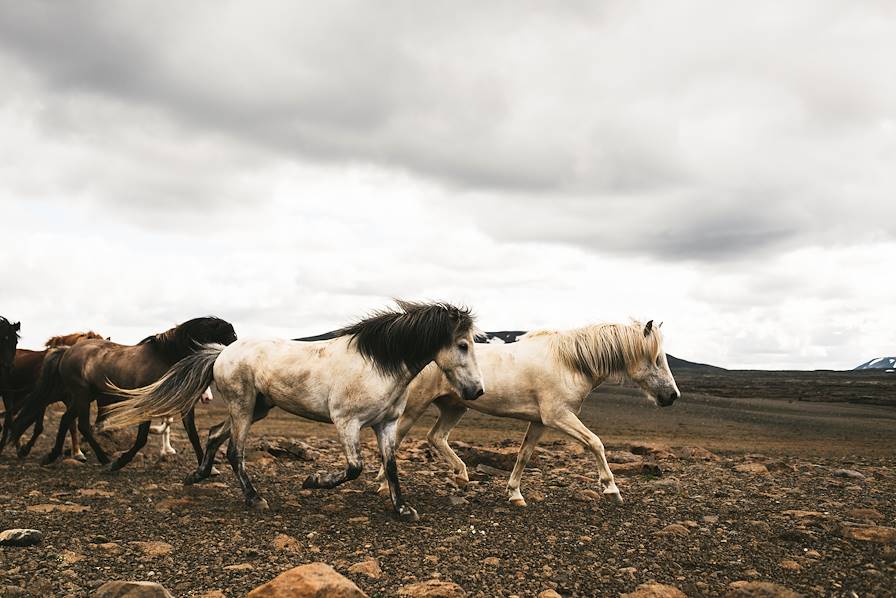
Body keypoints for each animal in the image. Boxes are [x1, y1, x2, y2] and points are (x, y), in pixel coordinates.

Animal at [0, 332, 106, 460]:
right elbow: (38, 426)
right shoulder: (43, 398)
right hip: (9, 394)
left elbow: (71, 424)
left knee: (11, 418)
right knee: (10, 419)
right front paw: (25, 449)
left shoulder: (70, 399)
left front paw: (77, 453)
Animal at [22, 316, 236, 472]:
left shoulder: (184, 406)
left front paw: (207, 468)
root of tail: (67, 350)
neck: (166, 357)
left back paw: (67, 456)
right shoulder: (148, 404)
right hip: (82, 395)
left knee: (69, 421)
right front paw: (120, 462)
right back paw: (100, 458)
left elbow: (192, 435)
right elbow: (141, 439)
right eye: (231, 335)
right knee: (77, 423)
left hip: (86, 396)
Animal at [378, 322, 680, 508]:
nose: (672, 396)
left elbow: (524, 455)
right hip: (415, 406)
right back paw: (383, 484)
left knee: (436, 437)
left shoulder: (539, 421)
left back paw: (461, 475)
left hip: (455, 407)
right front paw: (611, 489)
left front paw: (515, 494)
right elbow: (595, 442)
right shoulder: (559, 416)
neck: (570, 362)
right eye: (655, 359)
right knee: (396, 439)